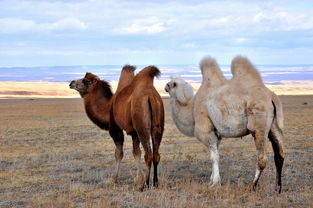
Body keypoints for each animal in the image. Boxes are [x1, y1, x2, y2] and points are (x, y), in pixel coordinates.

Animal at [165, 56, 284, 193]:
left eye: (170, 84)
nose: (165, 87)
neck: (191, 107)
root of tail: (271, 97)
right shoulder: (217, 134)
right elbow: (214, 154)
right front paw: (212, 181)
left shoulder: (206, 130)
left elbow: (214, 157)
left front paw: (214, 183)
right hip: (274, 126)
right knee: (280, 155)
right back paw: (278, 188)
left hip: (259, 124)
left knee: (262, 158)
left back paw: (252, 186)